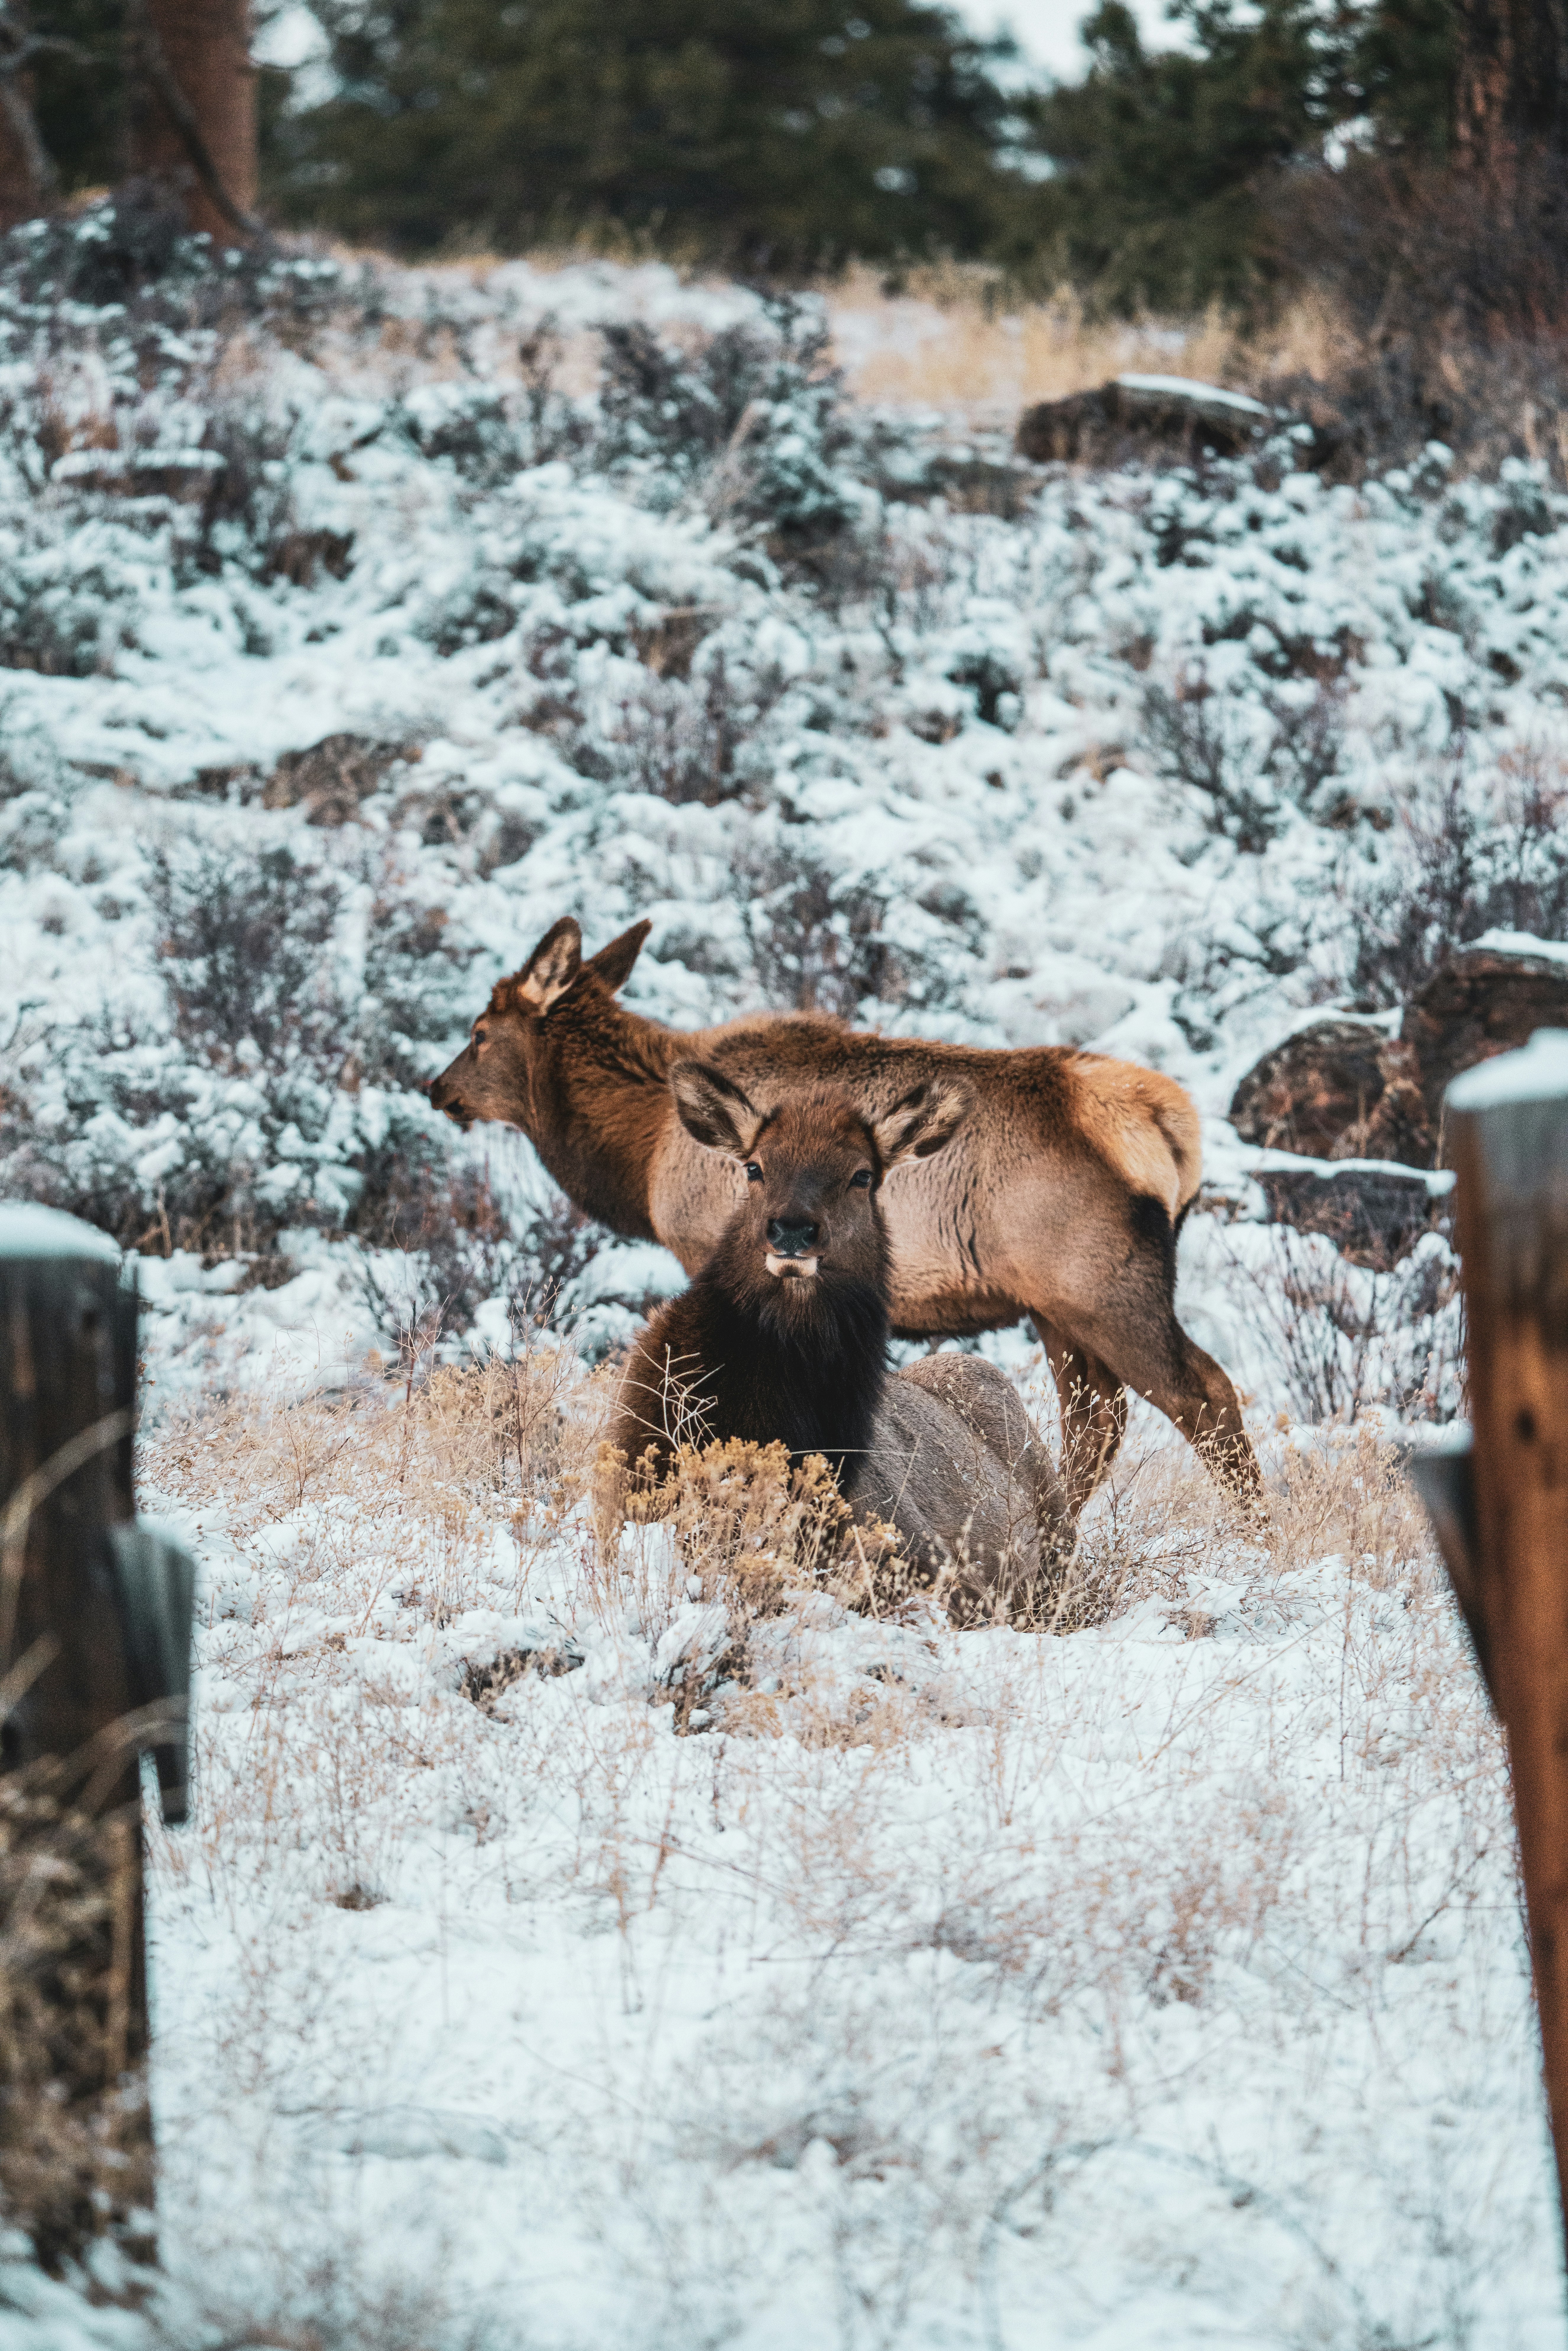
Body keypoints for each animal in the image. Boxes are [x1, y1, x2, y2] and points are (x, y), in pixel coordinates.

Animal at [428, 915, 1264, 1514]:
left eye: (478, 1034)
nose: (438, 1088)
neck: (640, 1152)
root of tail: (1172, 1129)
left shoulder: (708, 1246)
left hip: (1099, 1285)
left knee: (1205, 1393)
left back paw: (1255, 1530)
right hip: (1053, 1305)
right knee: (1098, 1421)